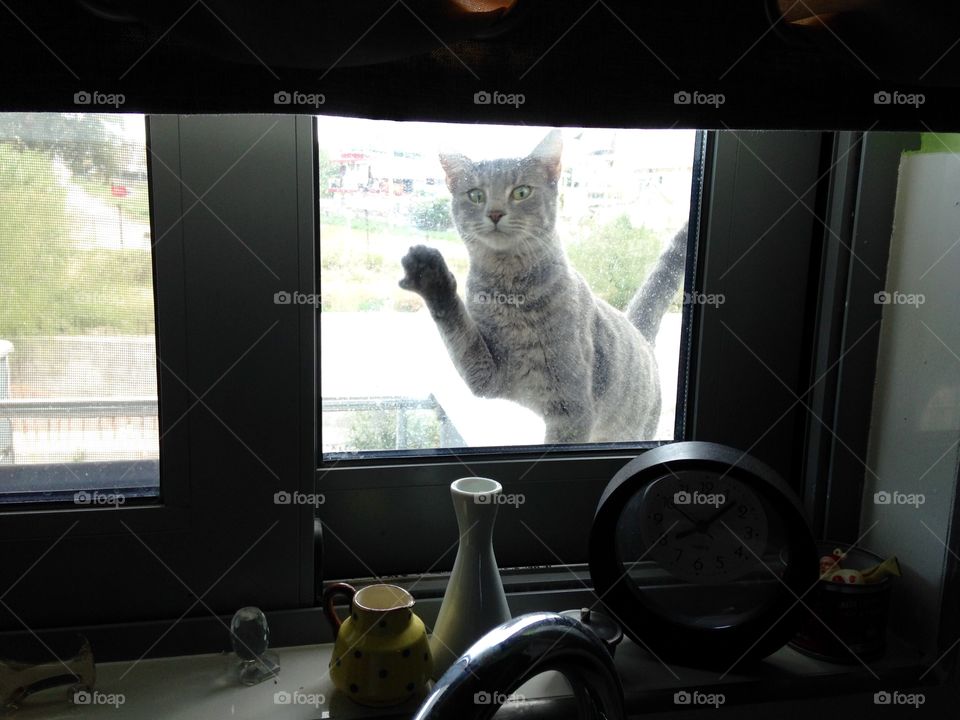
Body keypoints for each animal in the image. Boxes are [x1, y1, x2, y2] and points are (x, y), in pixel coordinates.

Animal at [402, 131, 688, 442]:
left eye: (521, 192)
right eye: (476, 195)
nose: (495, 213)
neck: (511, 290)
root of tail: (638, 330)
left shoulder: (570, 409)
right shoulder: (487, 376)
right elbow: (459, 332)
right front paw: (430, 276)